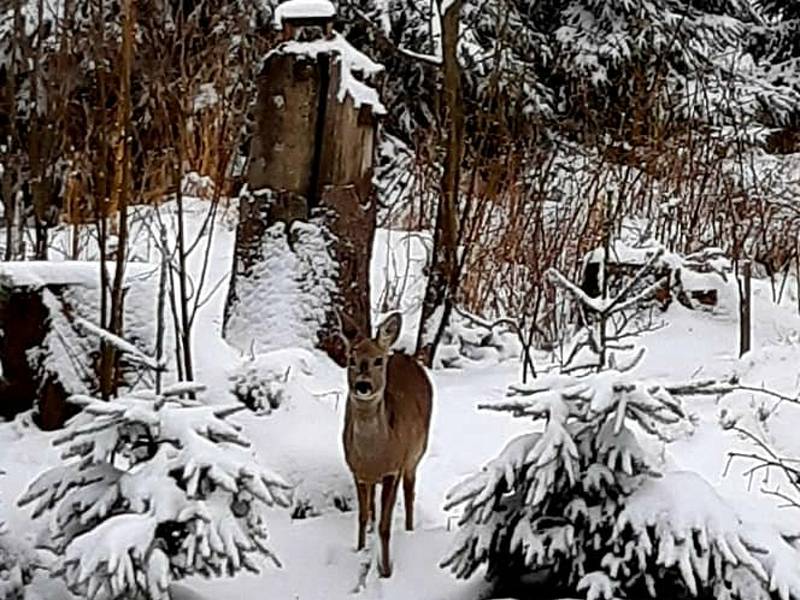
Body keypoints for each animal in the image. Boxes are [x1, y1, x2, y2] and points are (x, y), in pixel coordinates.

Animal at [340, 310, 434, 576]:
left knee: (410, 492)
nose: (363, 385)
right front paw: (360, 549)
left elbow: (386, 525)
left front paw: (386, 570)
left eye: (378, 360)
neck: (375, 454)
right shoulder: (356, 470)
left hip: (415, 455)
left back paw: (411, 529)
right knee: (373, 501)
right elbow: (362, 516)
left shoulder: (394, 469)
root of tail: (404, 356)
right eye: (351, 359)